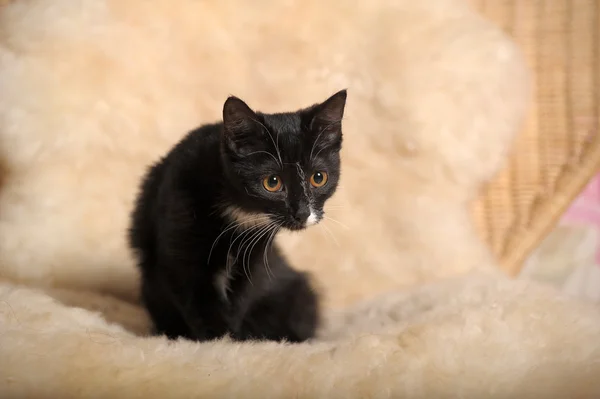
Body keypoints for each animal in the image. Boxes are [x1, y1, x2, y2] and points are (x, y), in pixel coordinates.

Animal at [131, 90, 346, 344]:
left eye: (319, 178)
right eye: (272, 182)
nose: (303, 213)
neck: (240, 210)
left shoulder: (255, 255)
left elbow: (241, 296)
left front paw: (233, 340)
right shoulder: (180, 246)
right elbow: (194, 296)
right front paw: (217, 341)